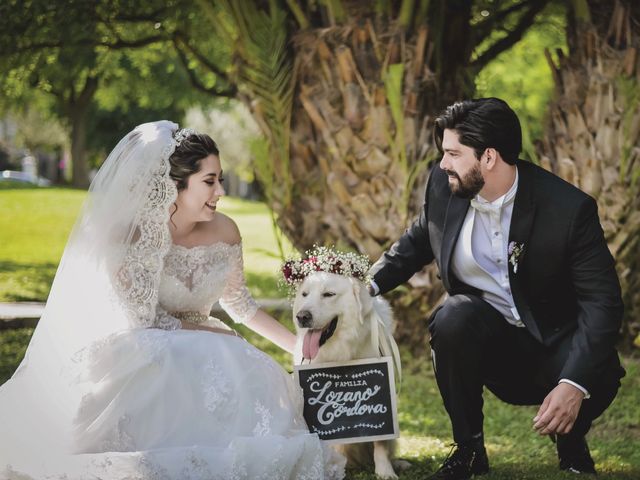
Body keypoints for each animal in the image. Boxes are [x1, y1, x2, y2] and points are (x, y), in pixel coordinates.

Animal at [292, 272, 402, 478]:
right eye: (304, 294)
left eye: (328, 294)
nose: (302, 316)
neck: (343, 348)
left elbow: (381, 442)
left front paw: (385, 471)